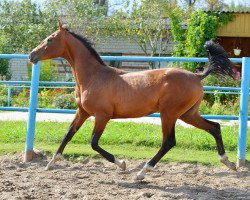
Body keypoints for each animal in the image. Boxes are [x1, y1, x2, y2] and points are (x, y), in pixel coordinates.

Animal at [29, 21, 236, 180]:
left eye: (50, 39)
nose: (32, 55)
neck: (93, 77)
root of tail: (196, 76)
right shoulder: (83, 112)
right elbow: (68, 134)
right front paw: (50, 163)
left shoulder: (102, 116)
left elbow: (93, 142)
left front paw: (122, 164)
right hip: (188, 114)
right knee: (214, 127)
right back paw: (229, 163)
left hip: (169, 114)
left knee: (169, 142)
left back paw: (142, 173)